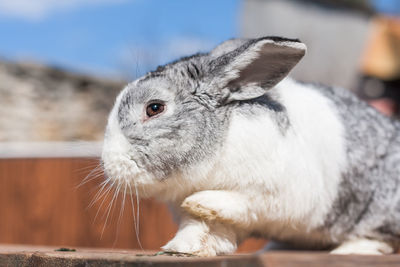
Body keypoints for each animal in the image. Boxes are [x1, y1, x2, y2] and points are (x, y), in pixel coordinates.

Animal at [100, 36, 400, 256]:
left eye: (154, 108)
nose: (107, 163)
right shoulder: (220, 220)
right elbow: (202, 228)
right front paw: (182, 247)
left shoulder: (279, 193)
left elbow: (243, 202)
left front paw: (198, 202)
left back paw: (350, 250)